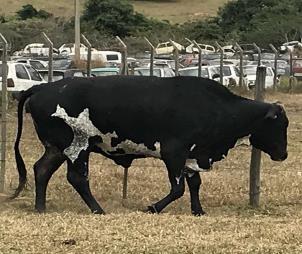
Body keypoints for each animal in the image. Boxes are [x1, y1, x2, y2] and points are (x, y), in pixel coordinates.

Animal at [13, 75, 290, 214]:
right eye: (279, 125)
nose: (284, 154)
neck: (216, 108)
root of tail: (43, 87)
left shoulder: (191, 156)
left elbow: (195, 184)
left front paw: (198, 210)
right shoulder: (173, 153)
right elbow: (178, 189)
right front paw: (153, 207)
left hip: (57, 149)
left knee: (41, 170)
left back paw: (41, 207)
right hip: (77, 147)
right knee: (77, 179)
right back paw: (98, 209)